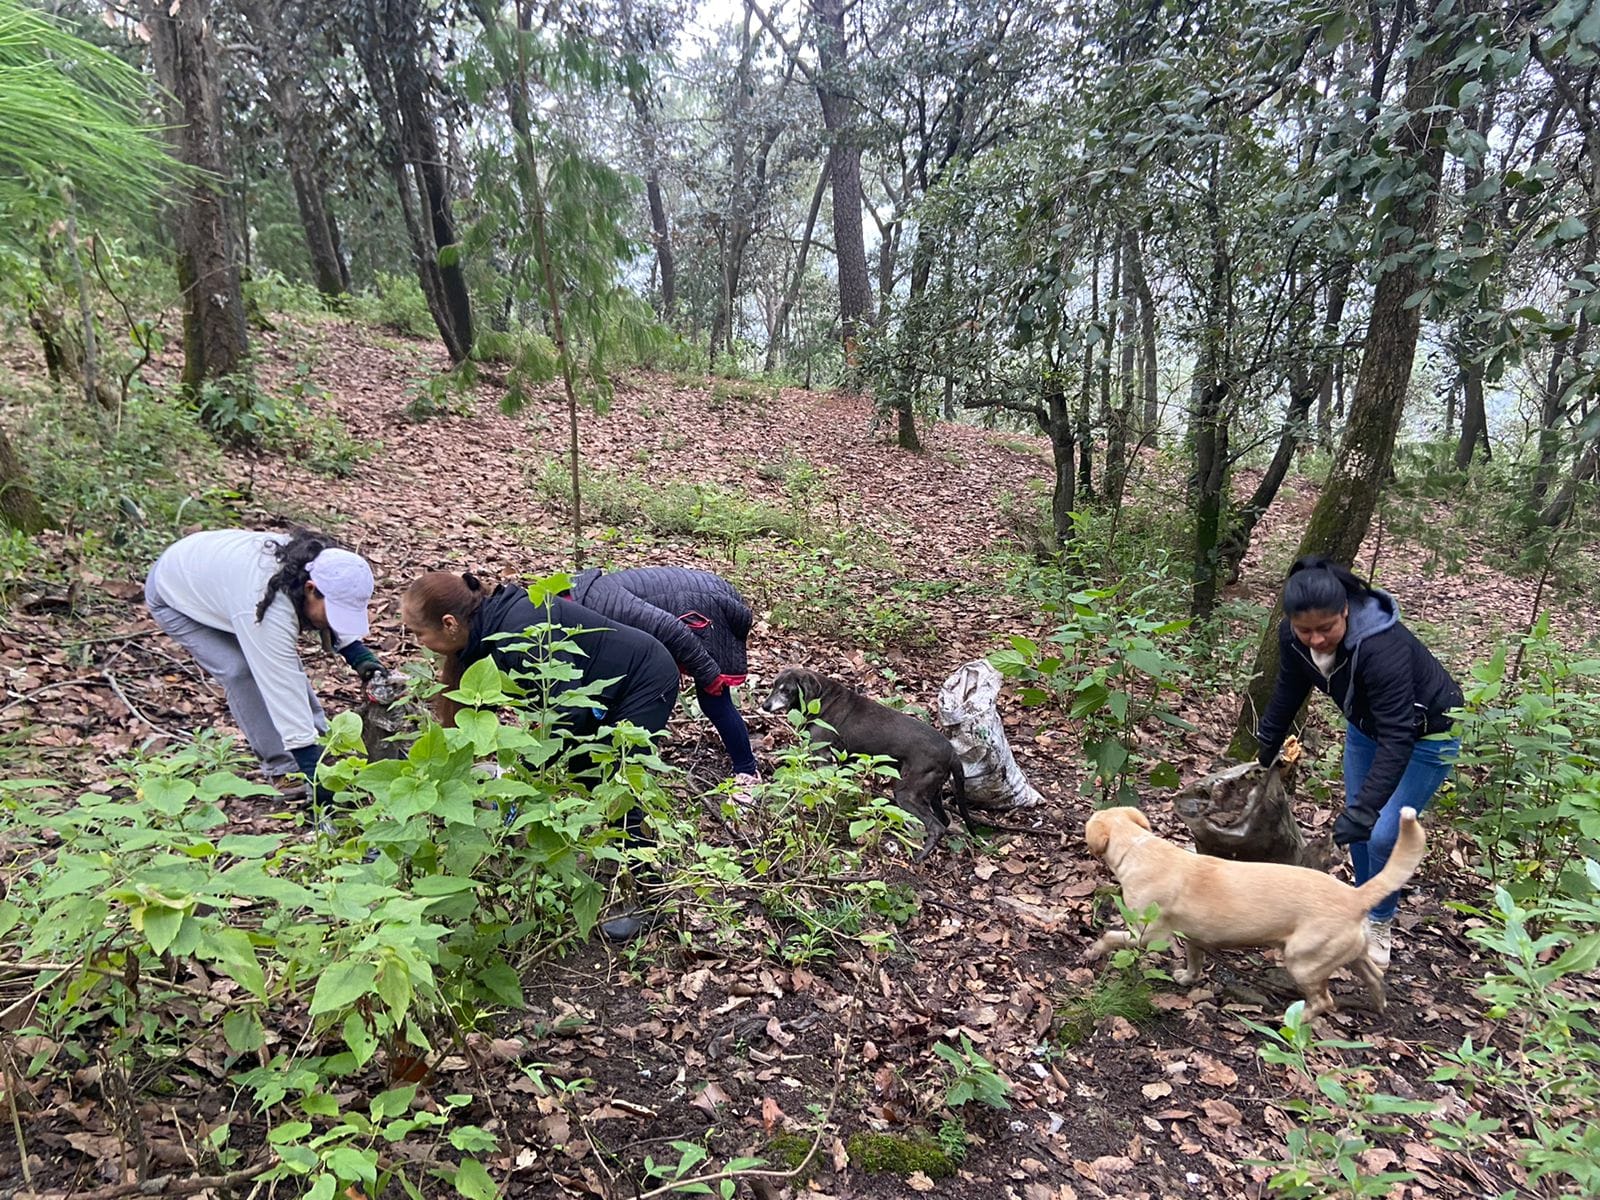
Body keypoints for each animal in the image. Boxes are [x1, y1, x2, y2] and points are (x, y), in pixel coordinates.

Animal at [761, 668, 972, 864]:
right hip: (933, 793)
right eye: (773, 685)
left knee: (936, 827)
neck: (822, 698)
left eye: (786, 690)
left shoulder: (822, 755)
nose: (765, 706)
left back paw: (919, 856)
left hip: (908, 793)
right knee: (944, 821)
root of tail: (952, 753)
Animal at [1088, 809, 1427, 1017]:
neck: (1138, 847)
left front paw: (1094, 951)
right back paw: (1379, 1004)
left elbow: (1111, 936)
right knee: (1374, 976)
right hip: (1352, 954)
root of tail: (1355, 895)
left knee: (1323, 1001)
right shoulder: (1195, 937)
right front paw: (1187, 977)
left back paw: (1294, 1021)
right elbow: (1195, 960)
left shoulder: (1145, 934)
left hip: (1303, 962)